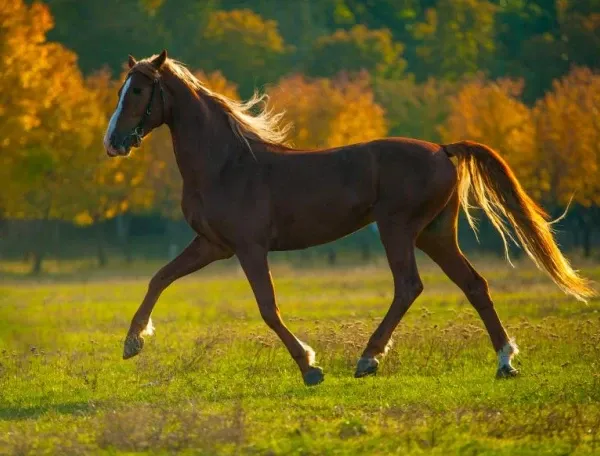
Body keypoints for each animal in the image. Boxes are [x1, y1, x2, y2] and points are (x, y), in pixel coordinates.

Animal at [104, 50, 596, 384]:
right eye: (122, 90)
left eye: (139, 90)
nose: (112, 143)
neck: (227, 164)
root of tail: (442, 150)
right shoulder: (213, 245)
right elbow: (160, 278)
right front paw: (132, 342)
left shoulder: (249, 248)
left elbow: (267, 307)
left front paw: (309, 367)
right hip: (434, 234)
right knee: (473, 284)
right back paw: (504, 361)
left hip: (398, 229)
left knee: (409, 286)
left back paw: (368, 358)